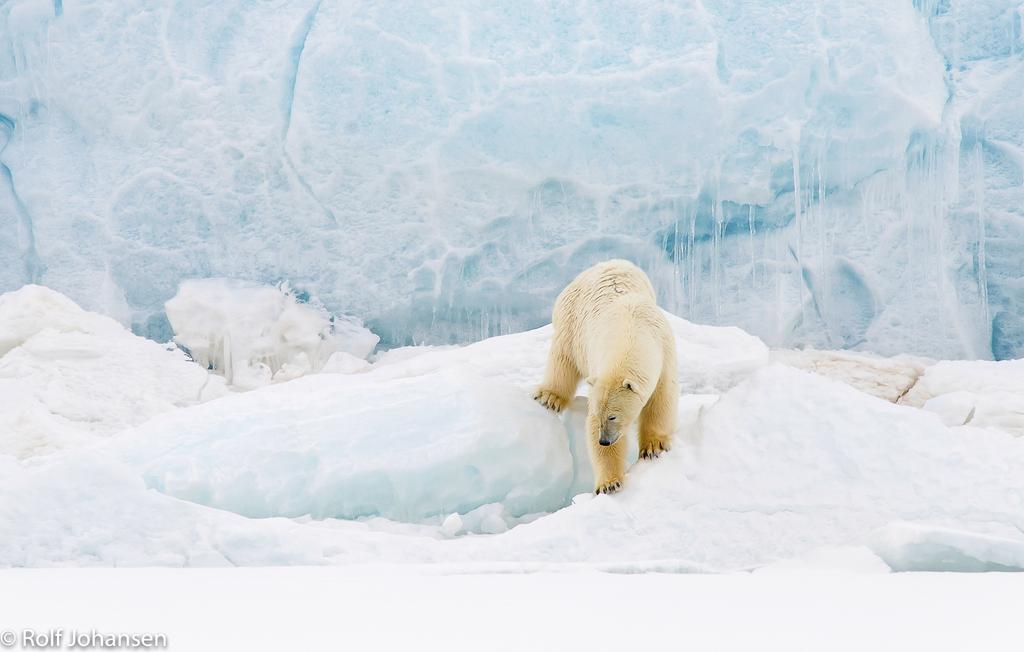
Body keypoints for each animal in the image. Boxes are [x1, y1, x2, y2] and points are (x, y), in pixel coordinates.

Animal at [532, 258, 675, 493]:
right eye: (599, 414)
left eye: (613, 416)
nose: (604, 441)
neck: (629, 330)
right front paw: (610, 483)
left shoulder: (664, 353)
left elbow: (660, 400)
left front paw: (654, 447)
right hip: (571, 322)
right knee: (562, 360)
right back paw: (549, 396)